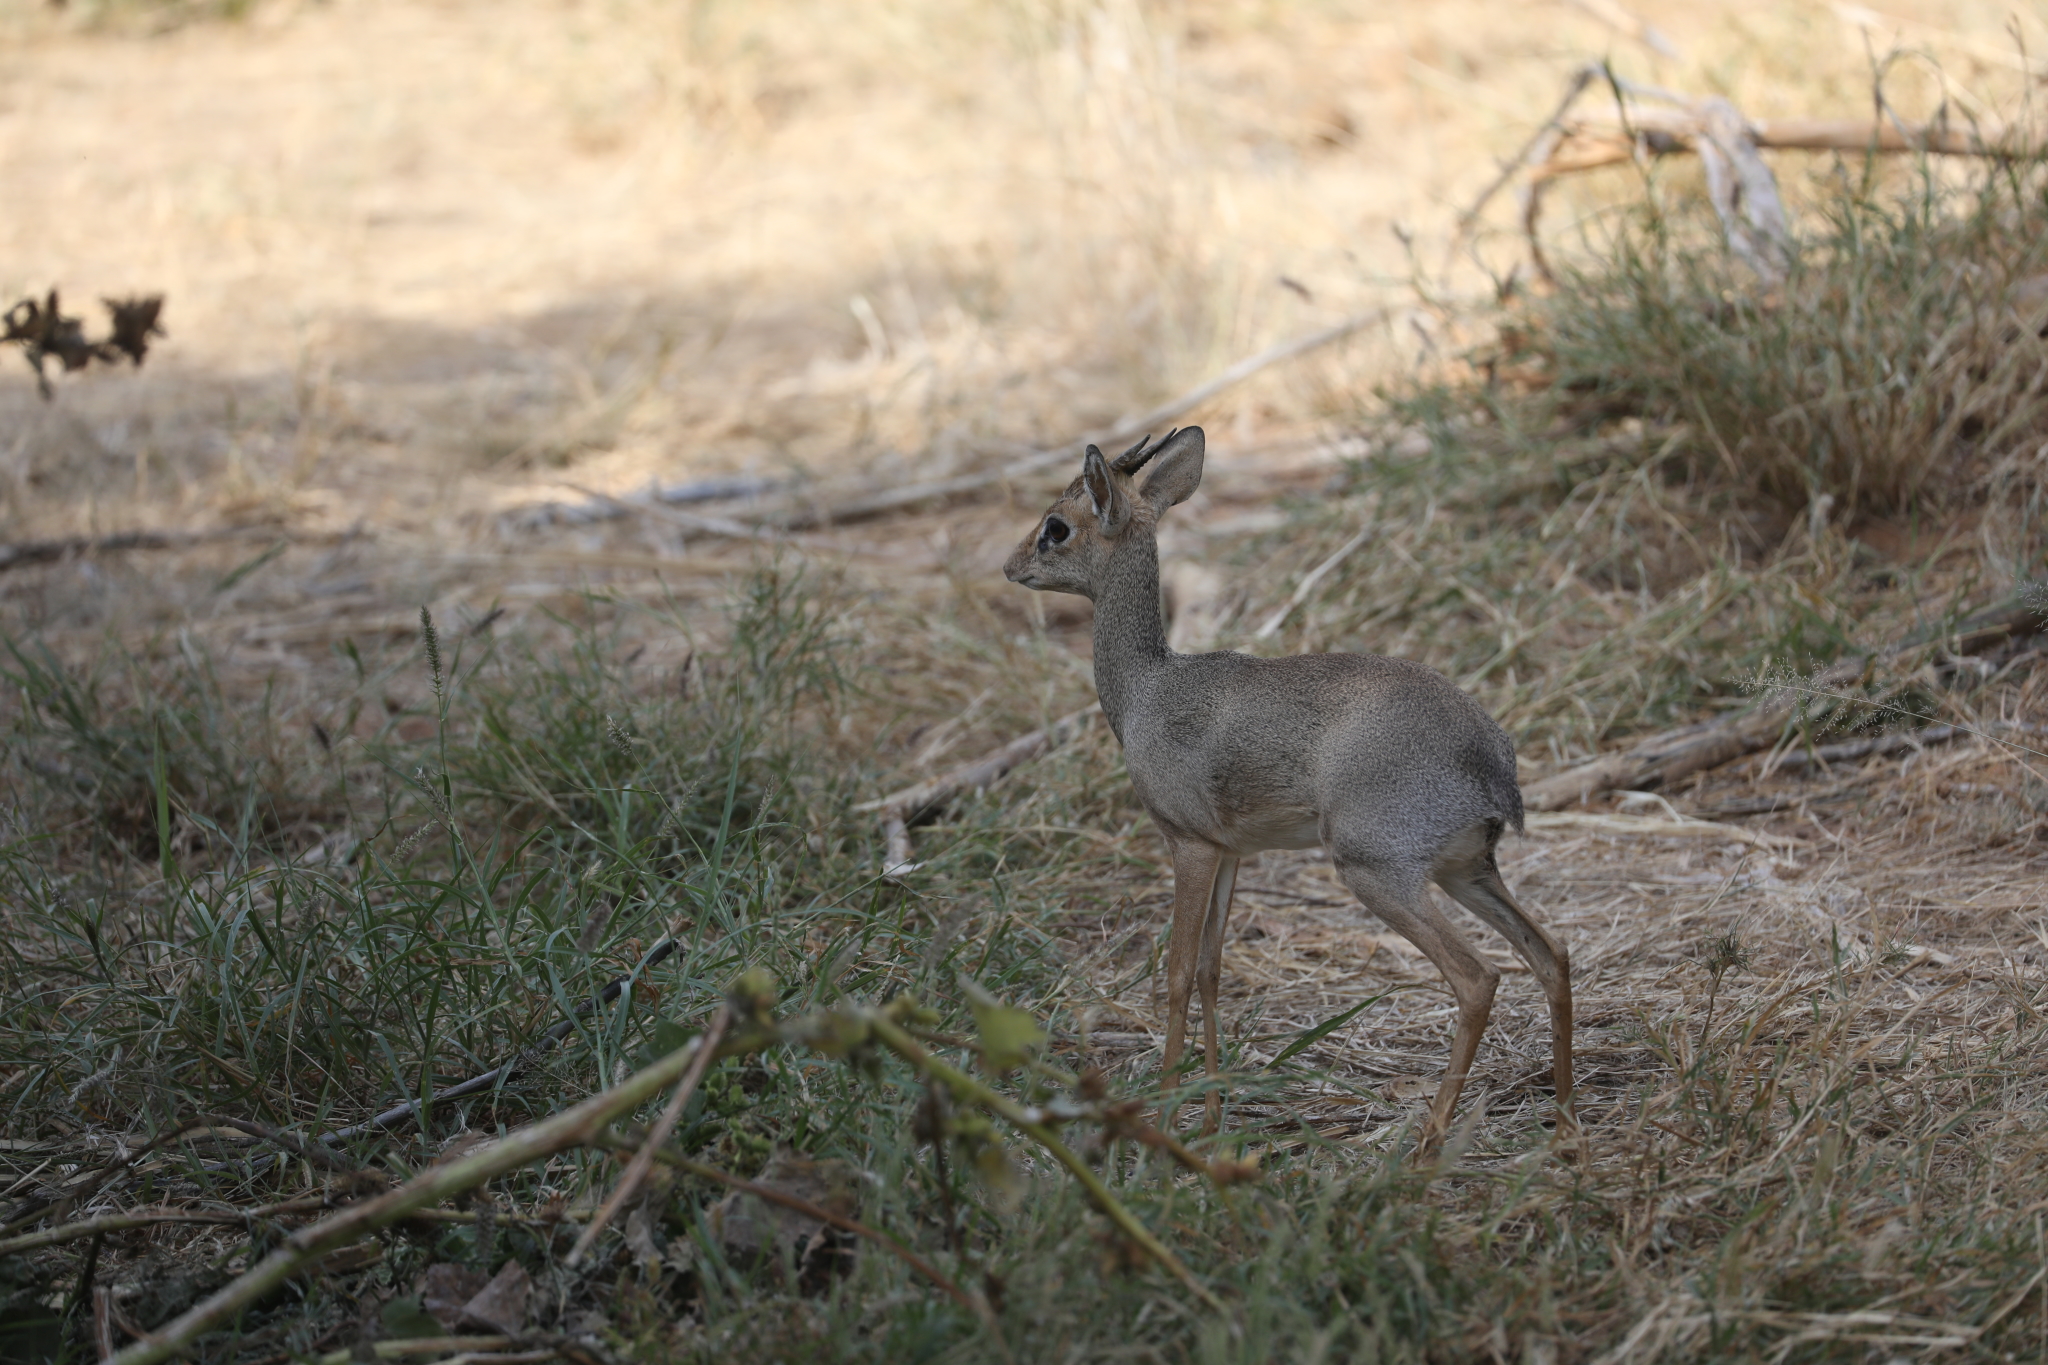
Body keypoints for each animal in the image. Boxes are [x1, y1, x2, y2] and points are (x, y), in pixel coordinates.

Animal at [1003, 429, 1564, 1146]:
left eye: (1056, 526)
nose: (1012, 565)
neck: (1145, 690)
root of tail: (1494, 760)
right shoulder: (1231, 852)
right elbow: (1212, 971)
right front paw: (1212, 1115)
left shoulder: (1189, 844)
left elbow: (1177, 974)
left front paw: (1165, 1117)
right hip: (1466, 869)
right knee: (1551, 955)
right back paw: (1566, 1128)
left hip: (1376, 870)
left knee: (1478, 977)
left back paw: (1425, 1146)